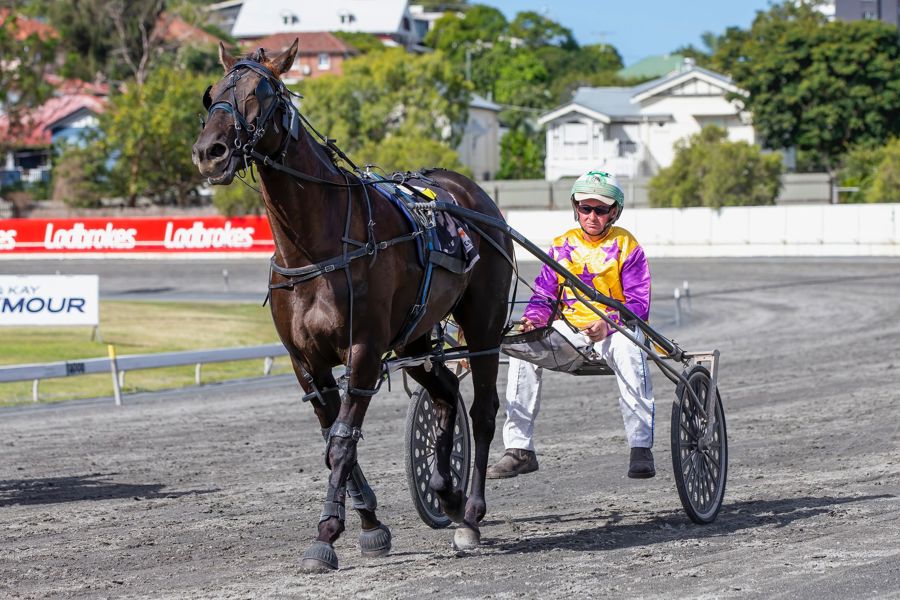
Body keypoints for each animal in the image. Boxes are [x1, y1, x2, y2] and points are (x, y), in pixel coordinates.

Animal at [191, 40, 514, 572]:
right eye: (212, 92)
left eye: (262, 91)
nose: (209, 152)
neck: (314, 249)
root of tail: (473, 194)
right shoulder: (305, 362)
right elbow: (330, 438)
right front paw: (369, 523)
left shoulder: (363, 349)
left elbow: (343, 440)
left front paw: (327, 533)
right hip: (414, 336)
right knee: (445, 392)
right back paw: (444, 491)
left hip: (483, 325)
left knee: (483, 409)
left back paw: (469, 513)